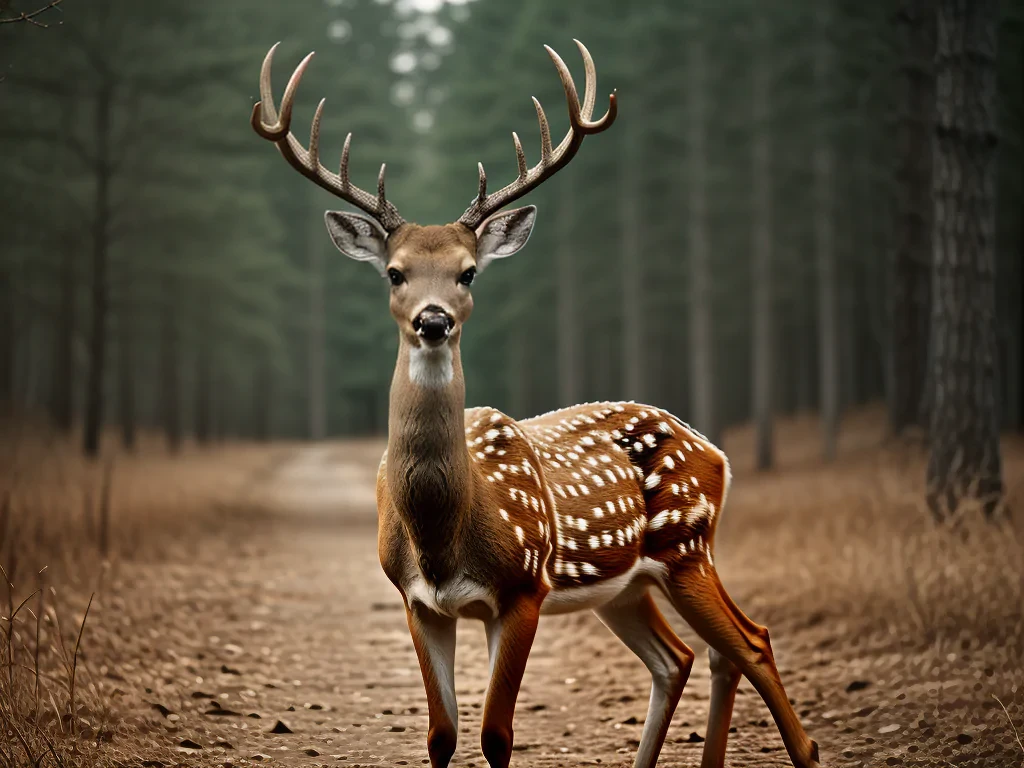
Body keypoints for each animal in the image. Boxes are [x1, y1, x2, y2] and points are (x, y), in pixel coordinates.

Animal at [251, 39, 821, 768]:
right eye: (395, 273)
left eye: (468, 272)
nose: (433, 320)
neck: (444, 531)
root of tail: (715, 450)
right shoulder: (416, 600)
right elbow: (442, 736)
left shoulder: (525, 587)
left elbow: (497, 735)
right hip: (631, 582)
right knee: (685, 657)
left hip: (687, 540)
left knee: (750, 641)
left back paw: (806, 750)